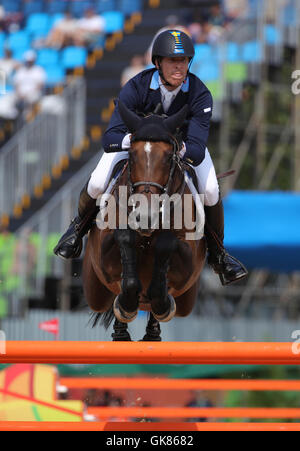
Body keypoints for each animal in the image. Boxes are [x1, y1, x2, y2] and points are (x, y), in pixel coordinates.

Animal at [83, 101, 207, 342]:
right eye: (131, 155)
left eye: (169, 157)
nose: (145, 217)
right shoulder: (103, 253)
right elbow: (124, 237)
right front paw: (127, 303)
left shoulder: (188, 264)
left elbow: (167, 244)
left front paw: (161, 302)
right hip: (95, 292)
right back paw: (121, 332)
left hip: (187, 301)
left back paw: (152, 333)